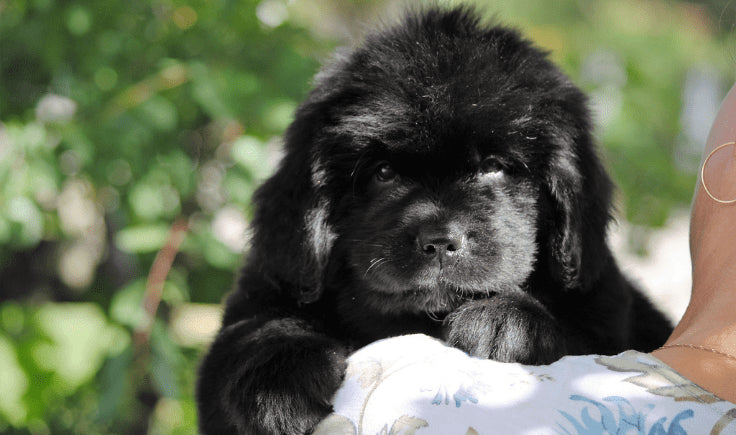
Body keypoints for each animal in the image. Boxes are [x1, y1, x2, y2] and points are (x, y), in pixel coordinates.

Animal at [197, 7, 672, 435]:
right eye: (383, 172)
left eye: (494, 166)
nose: (440, 240)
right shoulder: (266, 291)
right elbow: (260, 330)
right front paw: (277, 386)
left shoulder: (605, 312)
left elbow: (577, 336)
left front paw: (504, 321)